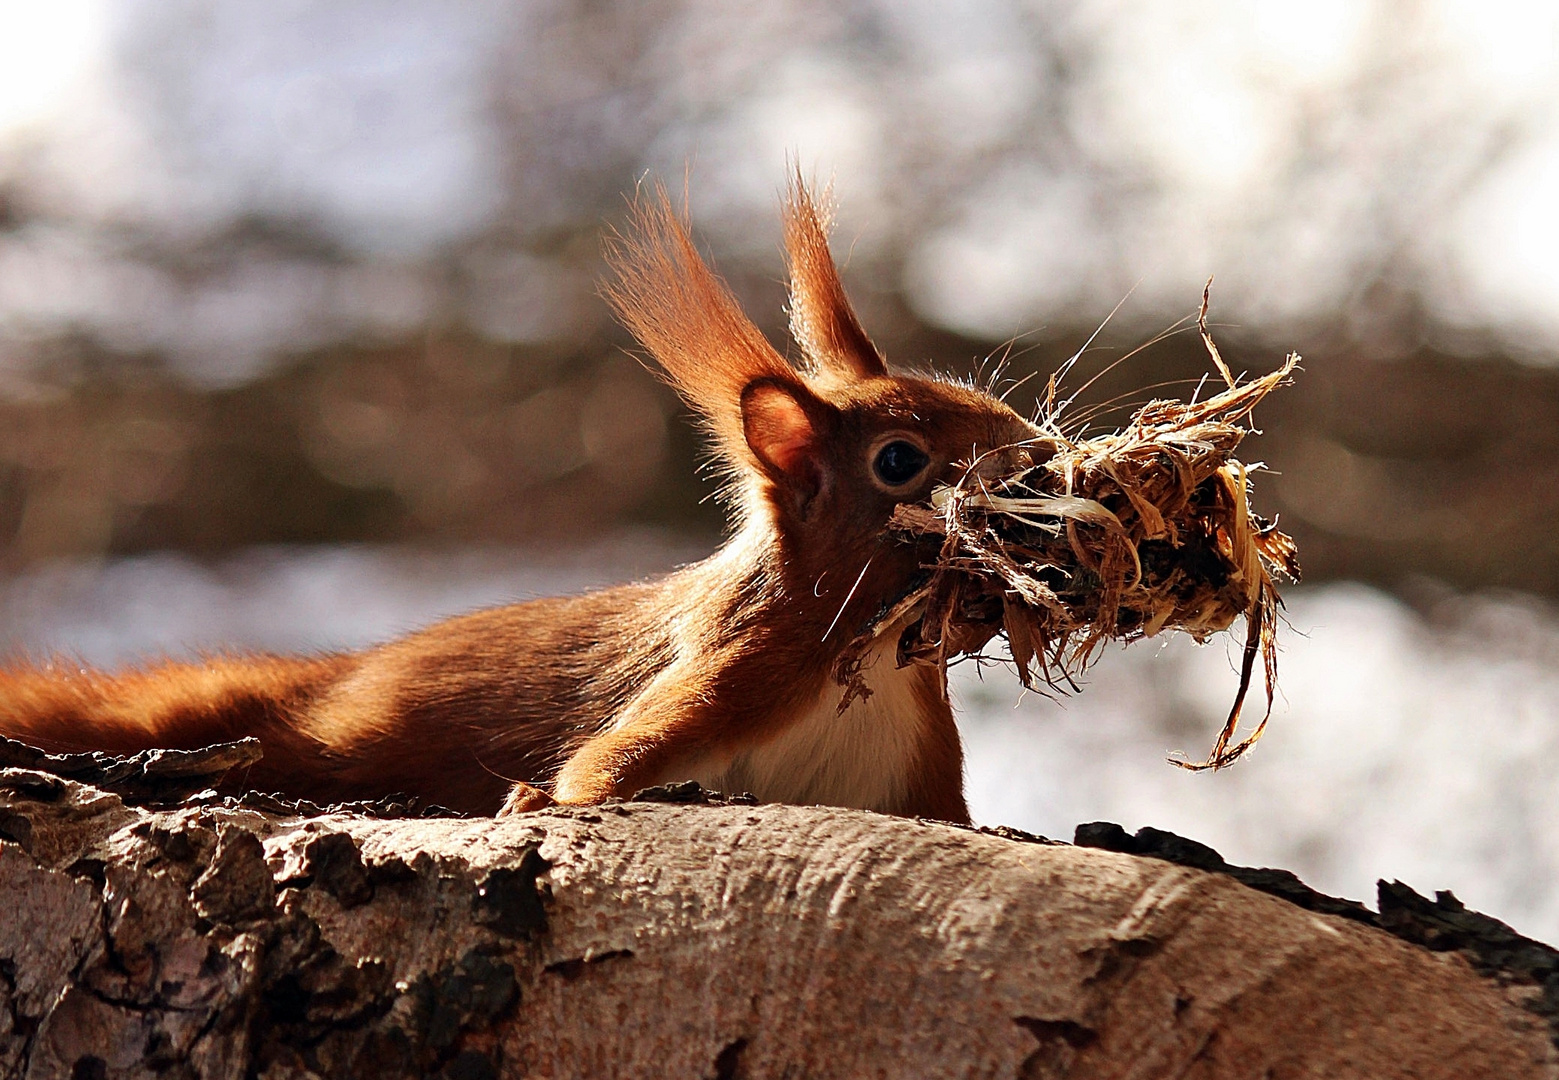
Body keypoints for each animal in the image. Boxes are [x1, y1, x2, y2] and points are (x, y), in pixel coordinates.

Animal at [6, 176, 1047, 822]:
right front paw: (539, 800)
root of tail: (333, 681)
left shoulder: (915, 779)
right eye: (900, 460)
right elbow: (596, 773)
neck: (868, 658)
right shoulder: (720, 683)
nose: (1037, 455)